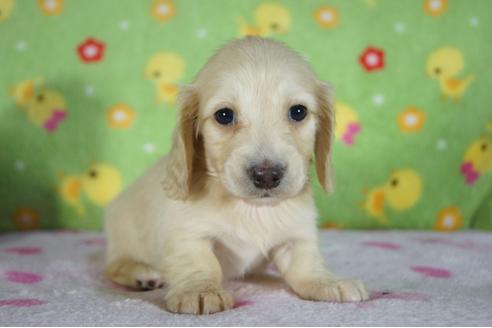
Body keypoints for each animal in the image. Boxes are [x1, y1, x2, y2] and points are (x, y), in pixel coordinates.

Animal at [104, 37, 368, 314]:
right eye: (224, 115)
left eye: (298, 112)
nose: (266, 175)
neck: (253, 209)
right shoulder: (187, 233)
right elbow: (199, 263)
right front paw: (200, 290)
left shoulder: (298, 234)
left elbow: (306, 264)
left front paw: (329, 282)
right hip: (123, 235)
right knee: (114, 264)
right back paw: (142, 274)